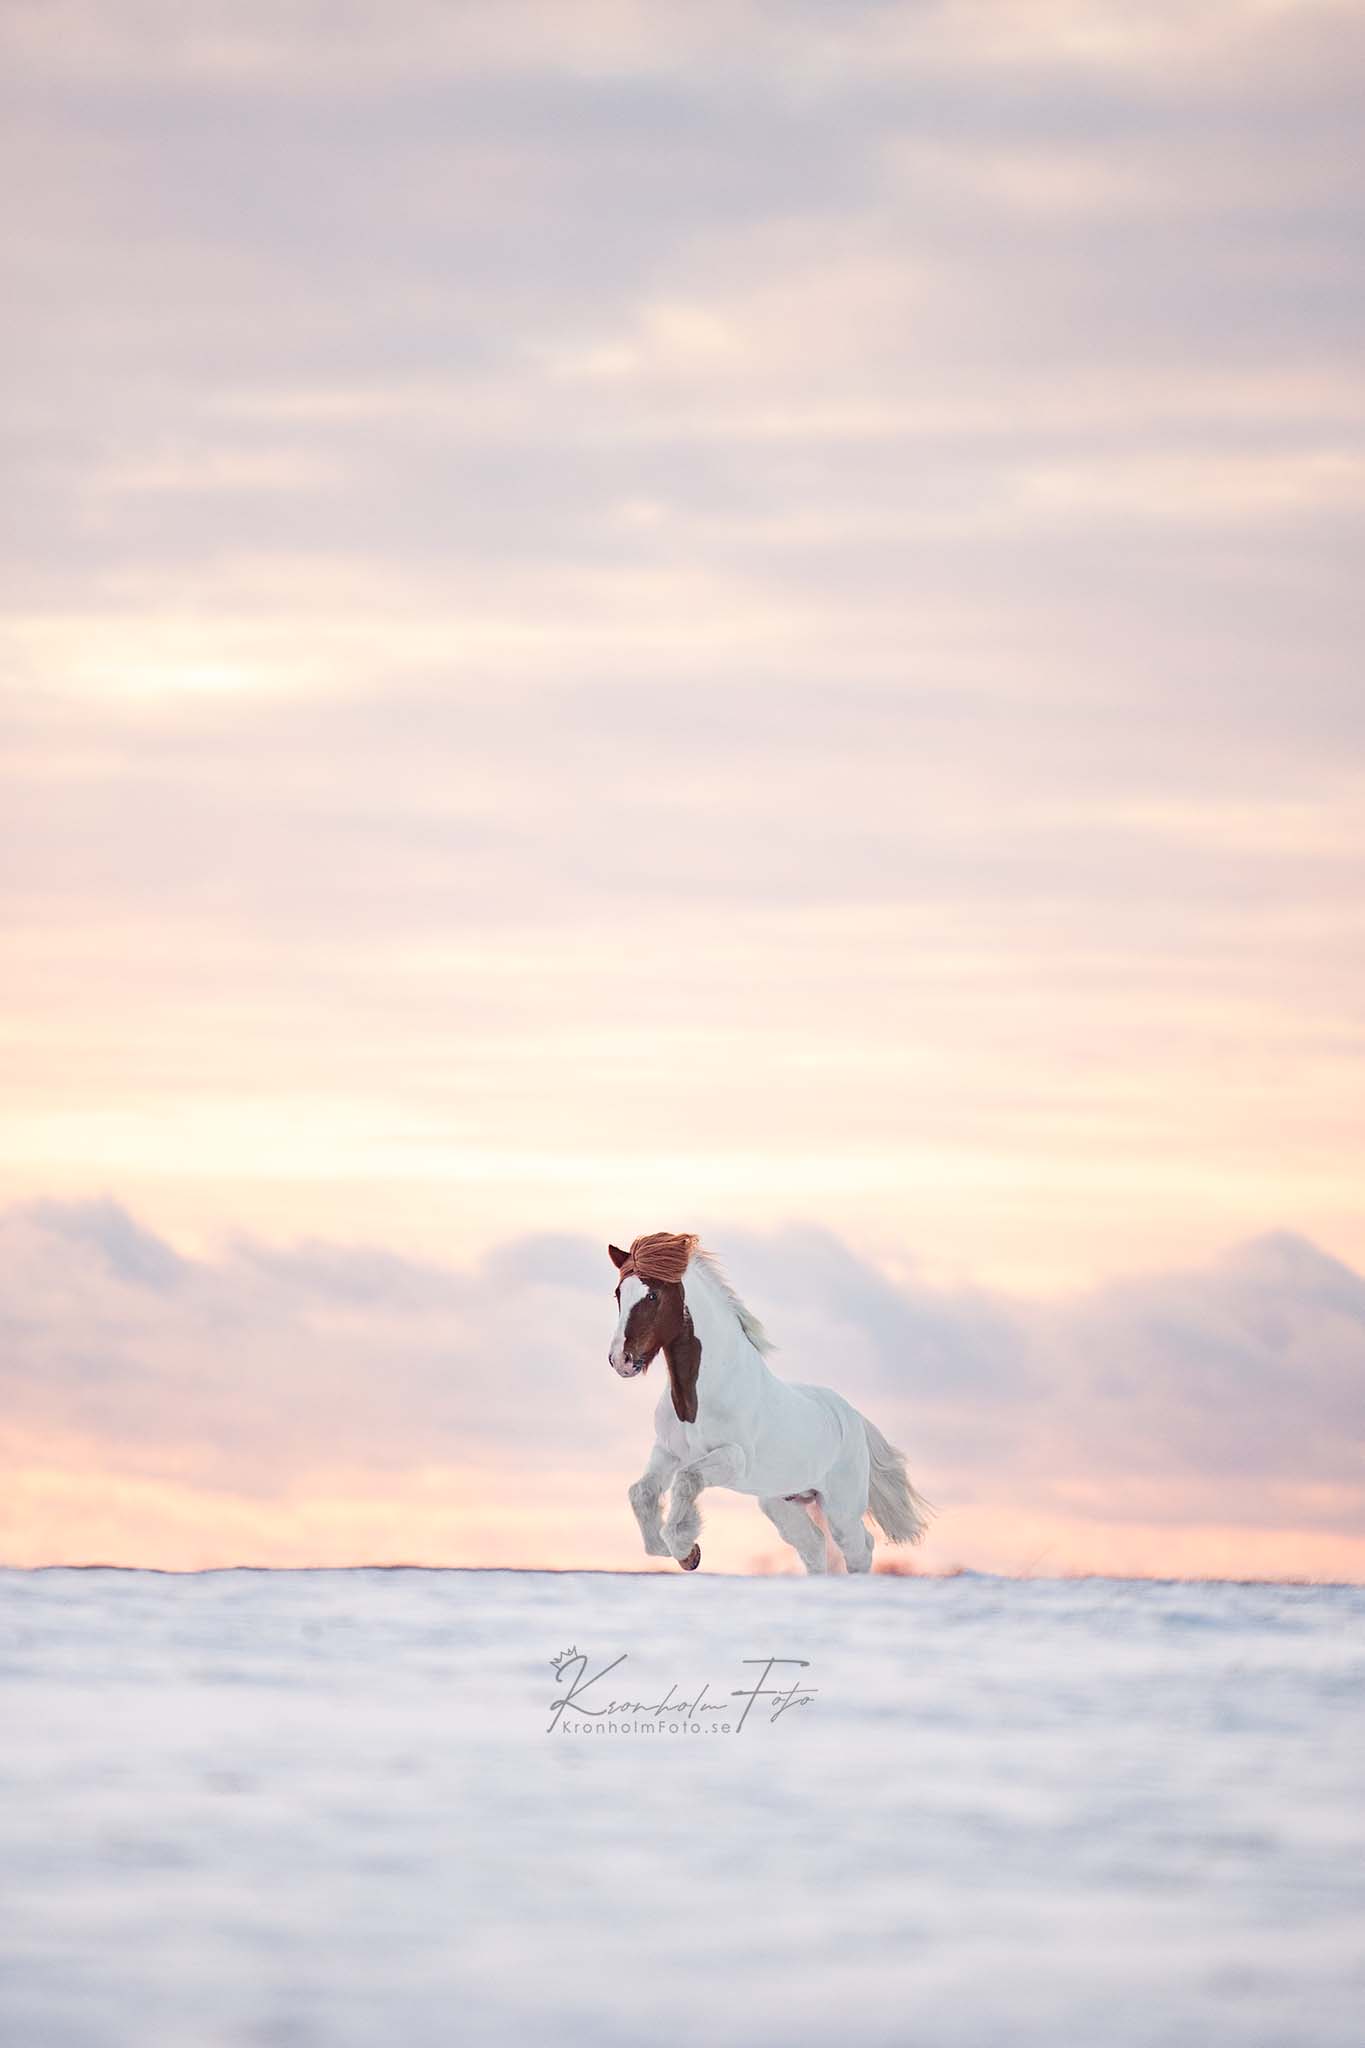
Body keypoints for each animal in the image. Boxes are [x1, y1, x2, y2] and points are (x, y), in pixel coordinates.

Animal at [605, 1220, 933, 1572]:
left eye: (653, 1294)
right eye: (619, 1293)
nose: (621, 1360)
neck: (699, 1399)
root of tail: (852, 1416)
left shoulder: (734, 1458)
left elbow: (687, 1480)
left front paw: (685, 1547)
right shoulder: (667, 1452)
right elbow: (641, 1493)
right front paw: (678, 1549)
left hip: (841, 1506)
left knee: (860, 1548)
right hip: (780, 1501)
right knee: (813, 1546)